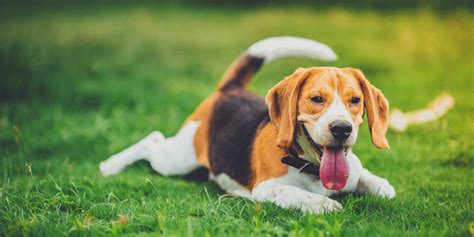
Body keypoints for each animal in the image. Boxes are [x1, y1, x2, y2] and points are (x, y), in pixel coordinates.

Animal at [101, 35, 396, 215]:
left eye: (355, 100)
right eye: (316, 99)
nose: (342, 129)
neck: (311, 166)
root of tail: (229, 89)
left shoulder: (355, 172)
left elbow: (380, 186)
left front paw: (379, 183)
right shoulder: (267, 189)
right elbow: (301, 195)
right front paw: (326, 204)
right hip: (177, 159)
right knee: (153, 139)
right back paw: (110, 165)